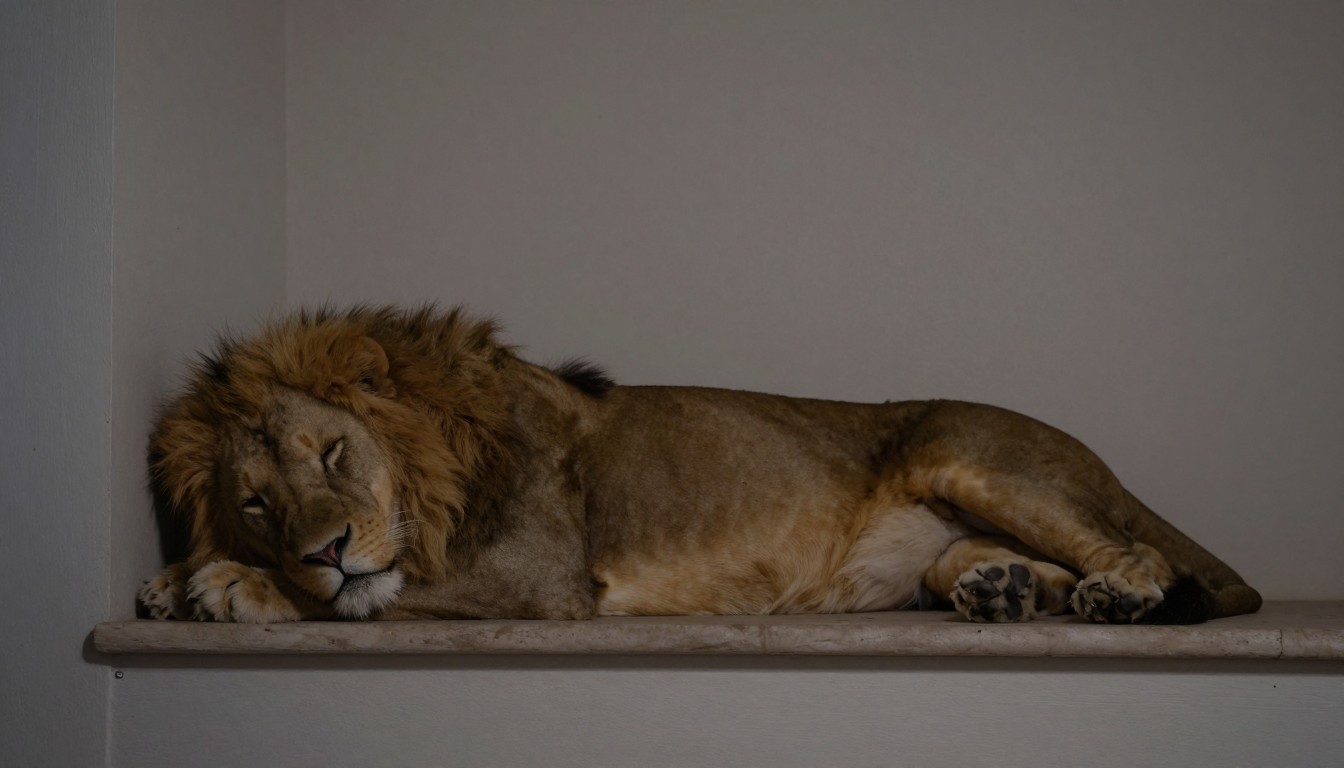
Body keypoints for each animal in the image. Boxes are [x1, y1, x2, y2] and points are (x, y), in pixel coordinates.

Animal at [137, 305, 1261, 625]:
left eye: (332, 451)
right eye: (255, 502)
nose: (322, 548)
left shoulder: (540, 581)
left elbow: (384, 590)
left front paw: (225, 585)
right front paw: (177, 577)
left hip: (968, 451)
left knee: (1144, 557)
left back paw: (1116, 597)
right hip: (952, 533)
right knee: (994, 565)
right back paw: (1003, 591)